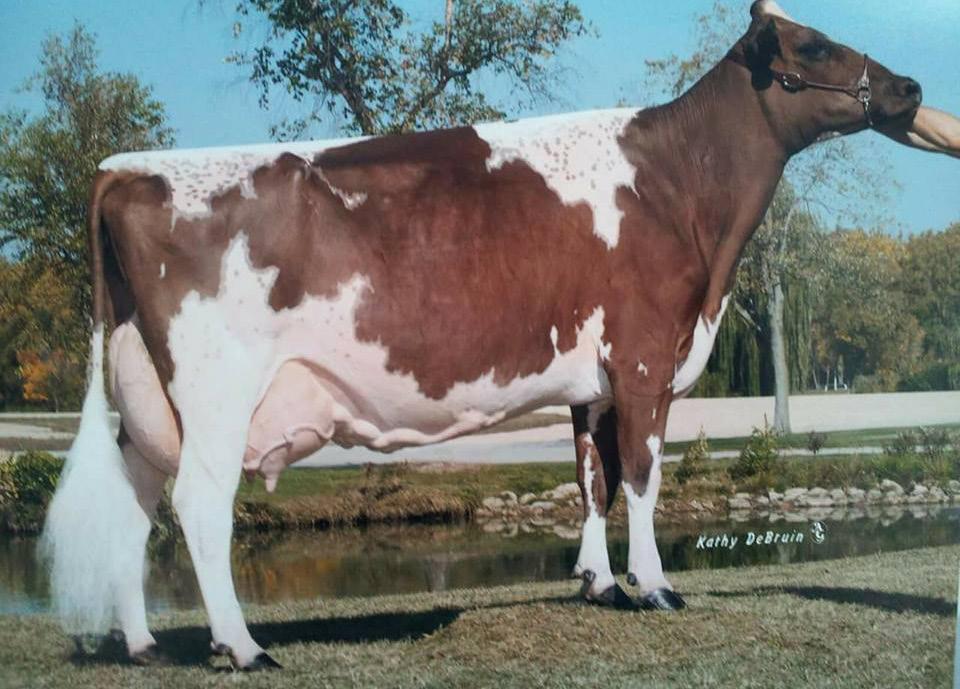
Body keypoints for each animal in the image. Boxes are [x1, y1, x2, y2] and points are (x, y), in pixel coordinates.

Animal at [41, 0, 923, 671]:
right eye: (815, 44)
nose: (911, 85)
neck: (678, 189)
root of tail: (124, 168)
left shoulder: (591, 380)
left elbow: (591, 479)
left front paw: (600, 583)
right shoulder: (644, 358)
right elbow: (642, 478)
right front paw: (657, 586)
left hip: (145, 403)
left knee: (133, 505)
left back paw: (144, 641)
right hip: (216, 390)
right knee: (197, 503)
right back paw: (242, 645)